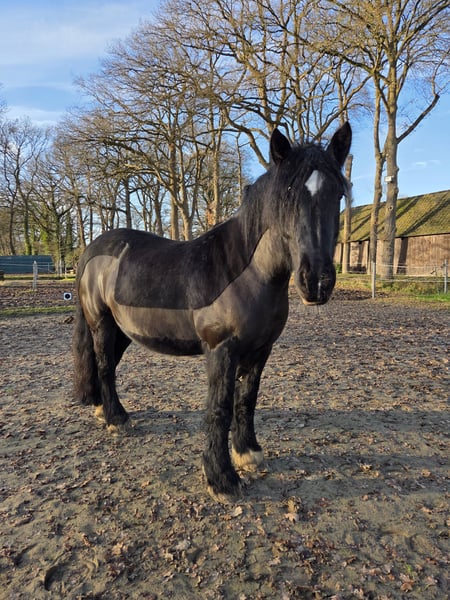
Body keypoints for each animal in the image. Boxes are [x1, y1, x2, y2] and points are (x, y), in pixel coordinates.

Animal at [72, 122, 351, 503]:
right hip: (100, 322)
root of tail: (92, 249)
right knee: (103, 365)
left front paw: (247, 452)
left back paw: (107, 410)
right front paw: (221, 479)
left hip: (122, 330)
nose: (317, 282)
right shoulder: (222, 350)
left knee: (109, 366)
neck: (248, 273)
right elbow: (219, 407)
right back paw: (115, 420)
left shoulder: (260, 350)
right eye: (288, 194)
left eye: (338, 193)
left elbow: (247, 400)